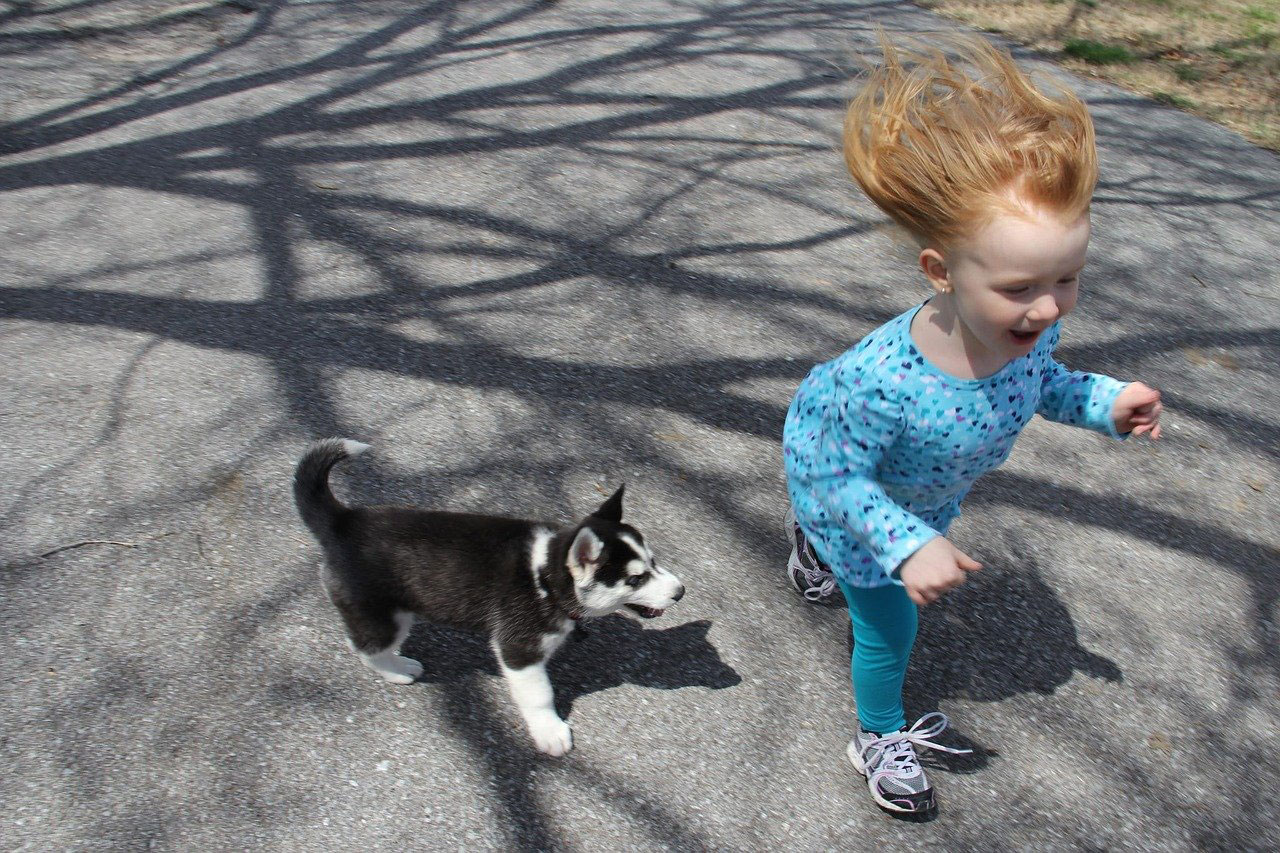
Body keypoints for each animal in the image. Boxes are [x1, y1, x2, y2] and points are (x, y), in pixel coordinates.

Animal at [293, 438, 686, 753]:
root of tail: (343, 521)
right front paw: (550, 732)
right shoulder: (518, 650)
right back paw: (398, 669)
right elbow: (540, 694)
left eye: (653, 562)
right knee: (364, 647)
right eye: (635, 579)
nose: (680, 592)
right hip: (383, 615)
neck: (545, 576)